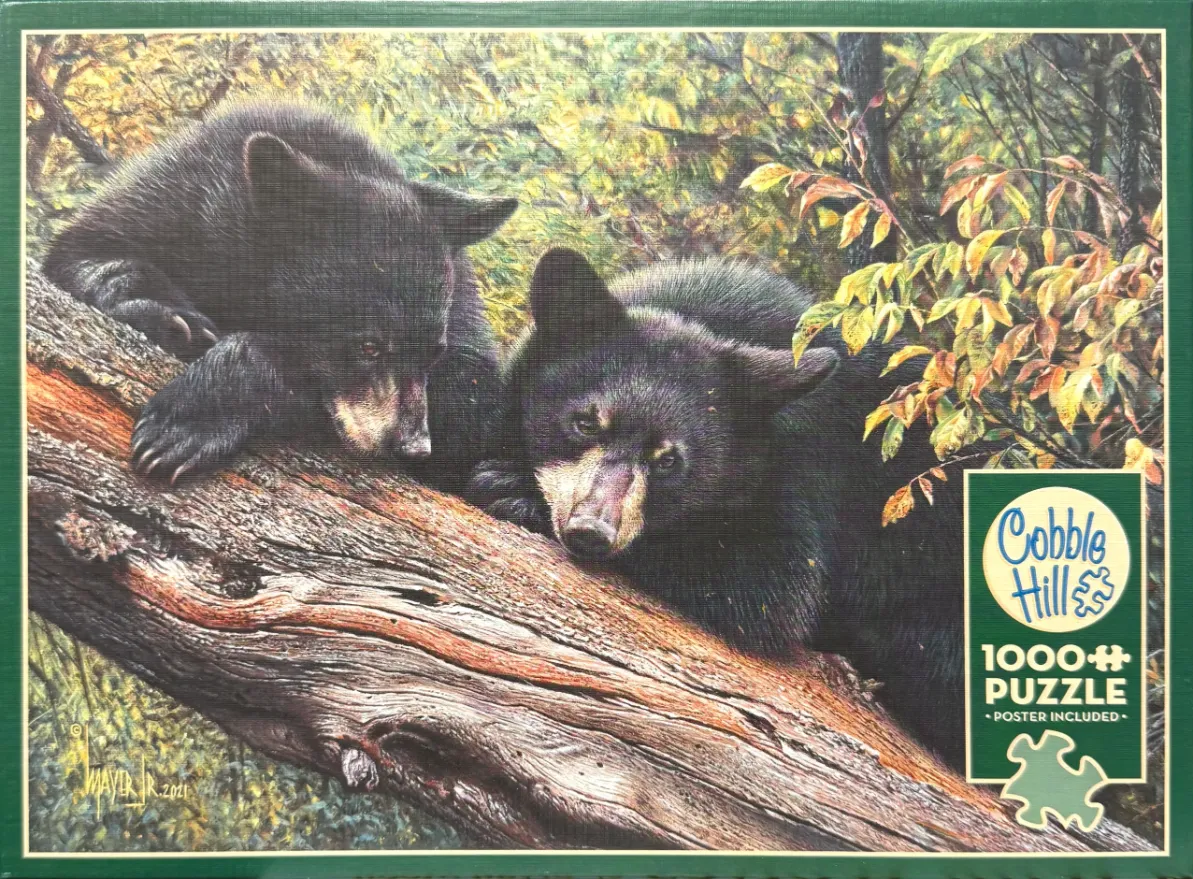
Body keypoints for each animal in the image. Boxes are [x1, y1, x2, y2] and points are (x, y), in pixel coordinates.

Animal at [43, 101, 518, 488]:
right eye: (368, 346)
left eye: (433, 352)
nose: (413, 446)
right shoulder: (172, 201)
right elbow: (81, 255)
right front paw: (171, 316)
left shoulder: (461, 315)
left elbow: (472, 407)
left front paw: (183, 423)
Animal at [468, 248, 966, 765]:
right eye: (586, 422)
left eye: (668, 460)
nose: (591, 530)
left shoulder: (800, 474)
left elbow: (769, 586)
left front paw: (512, 489)